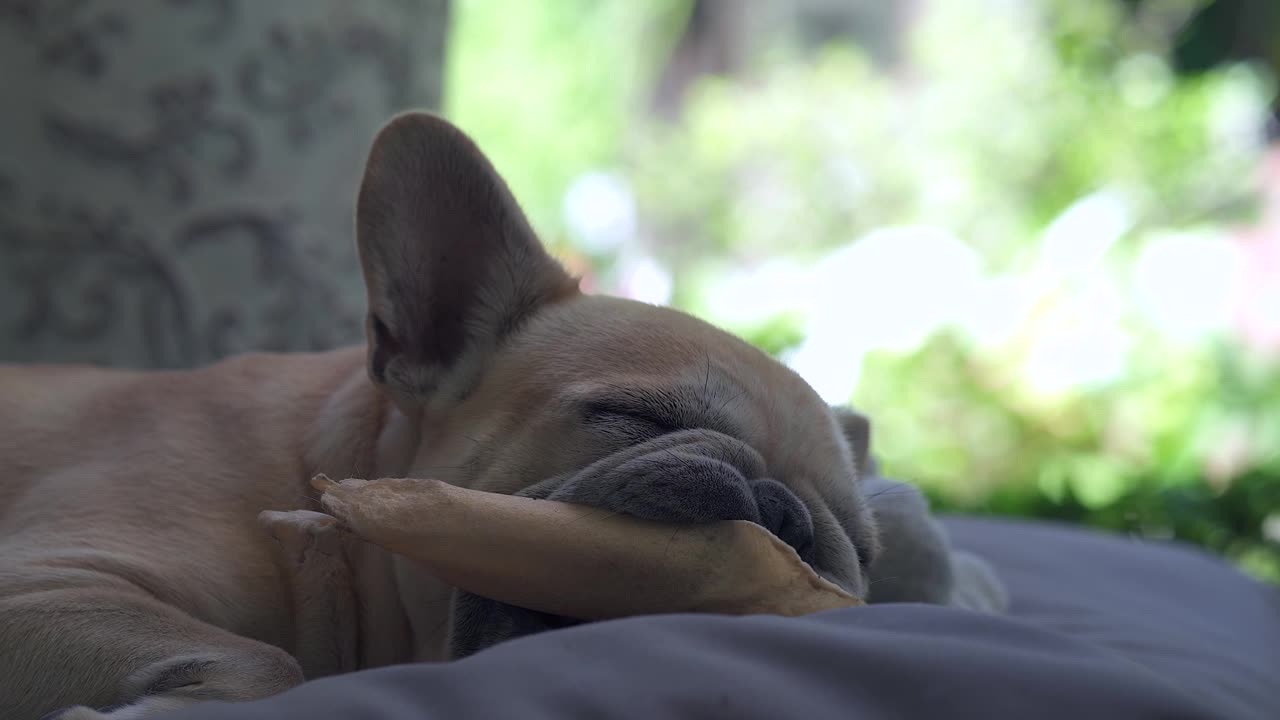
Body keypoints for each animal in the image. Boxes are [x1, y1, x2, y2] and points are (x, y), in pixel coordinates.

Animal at [2, 113, 890, 717]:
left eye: (864, 548)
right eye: (635, 417)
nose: (783, 511)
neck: (316, 481)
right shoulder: (44, 585)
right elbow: (269, 663)